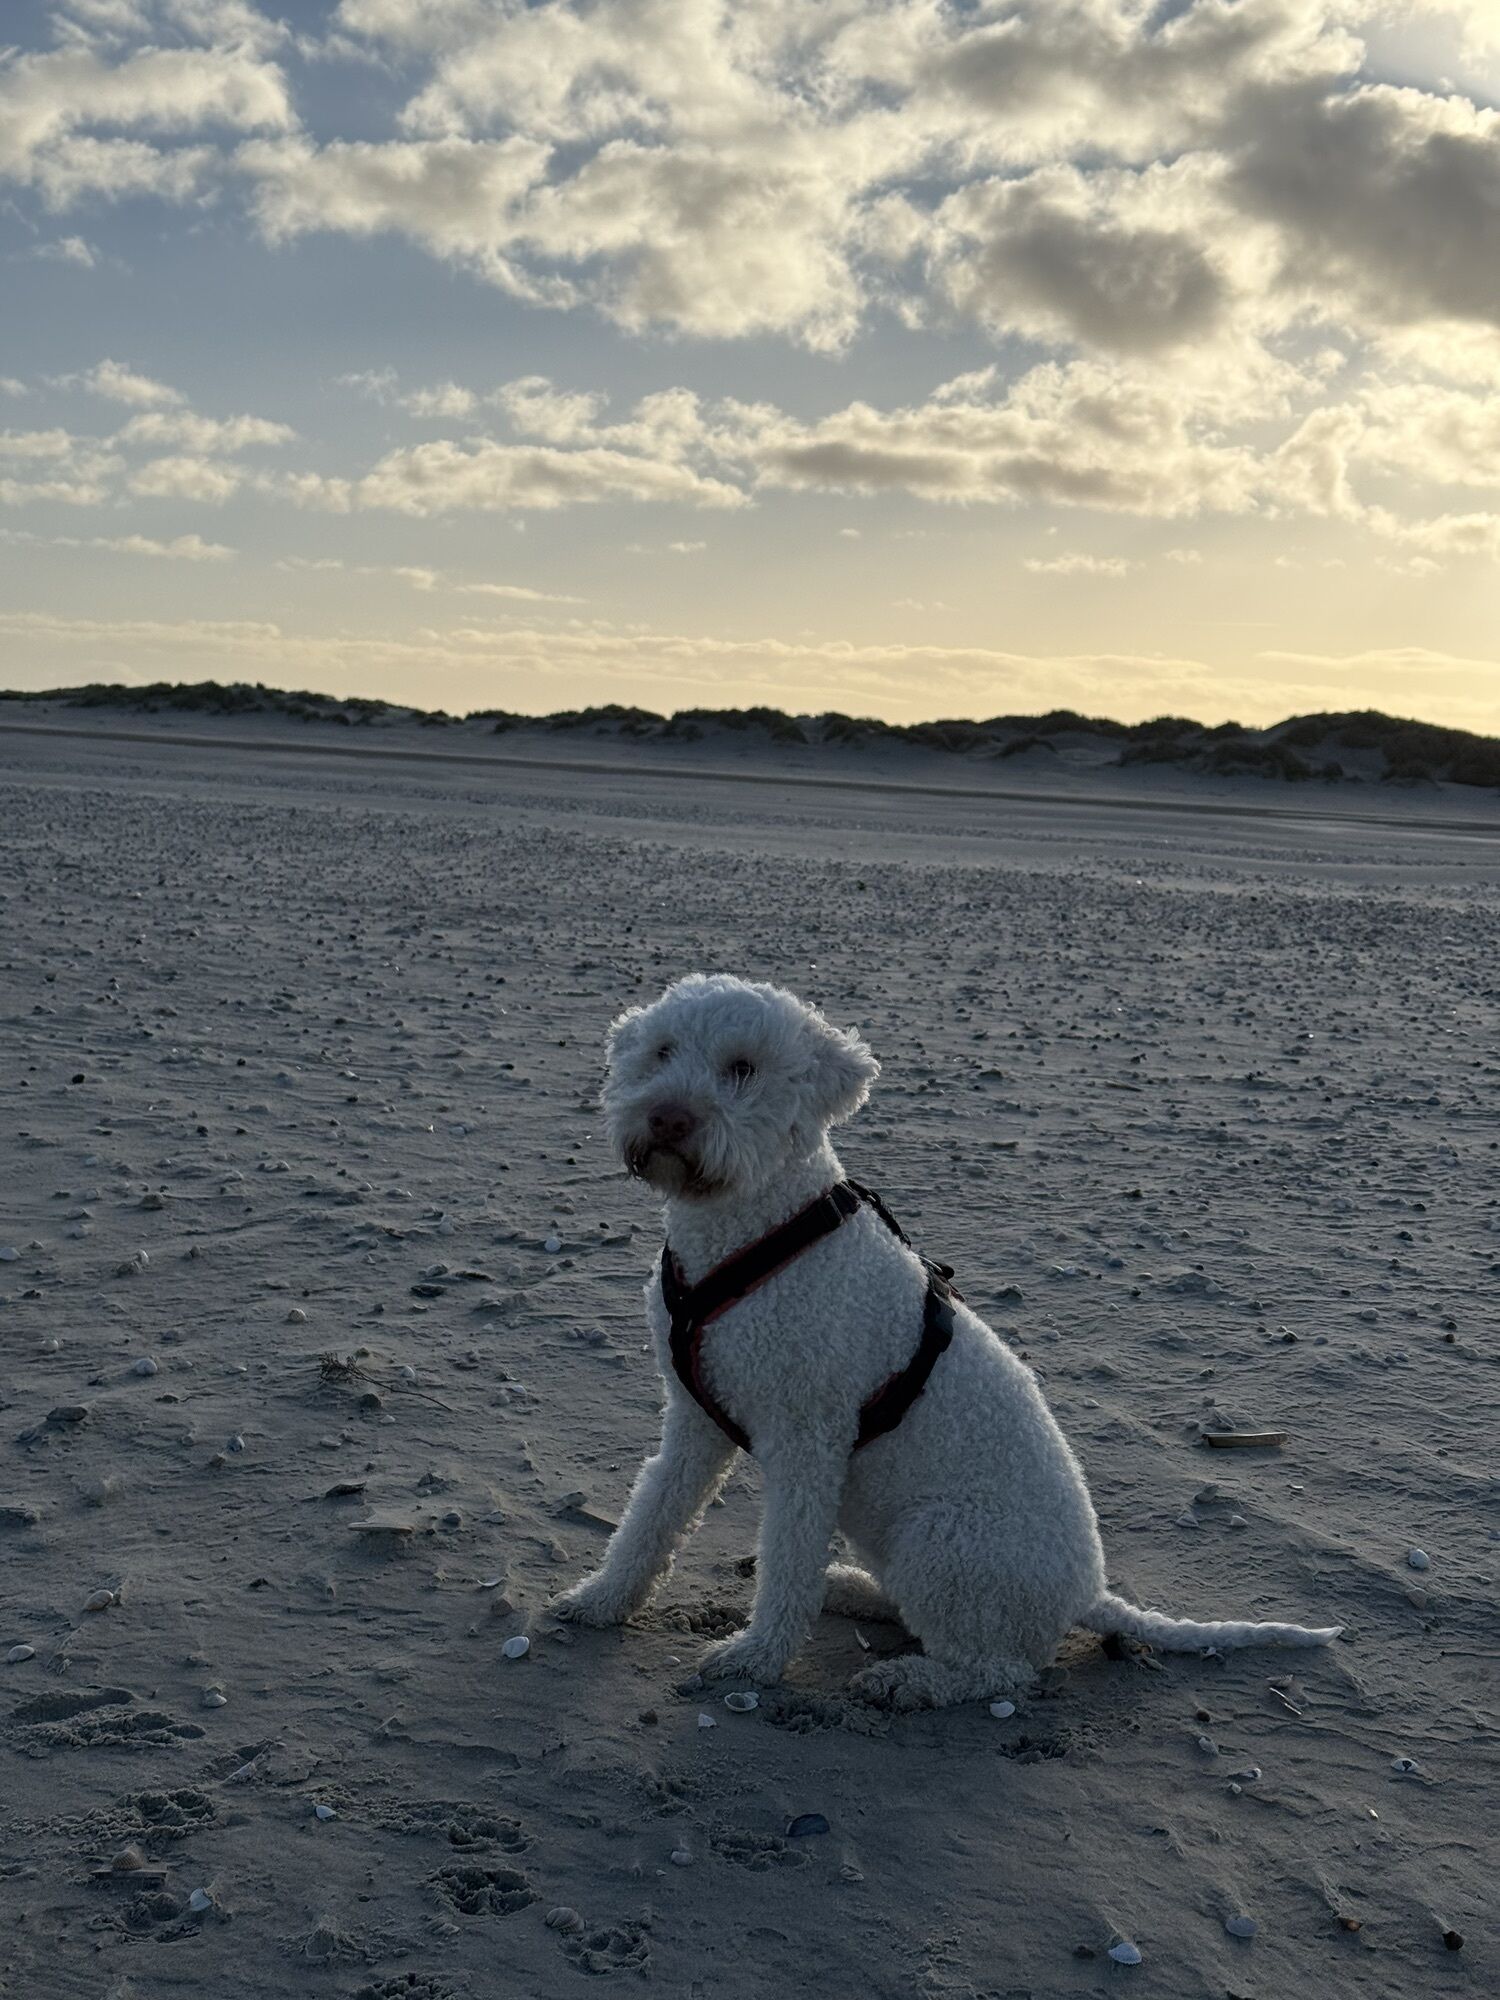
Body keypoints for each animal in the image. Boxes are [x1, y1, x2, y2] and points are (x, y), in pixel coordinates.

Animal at [552, 973, 1341, 1709]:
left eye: (742, 1067)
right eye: (661, 1052)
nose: (668, 1117)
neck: (755, 1233)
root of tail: (1089, 1598)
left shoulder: (808, 1442)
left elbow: (784, 1562)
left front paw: (756, 1659)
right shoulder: (693, 1421)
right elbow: (651, 1517)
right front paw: (601, 1600)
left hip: (941, 1542)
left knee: (999, 1672)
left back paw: (909, 1680)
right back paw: (852, 1589)